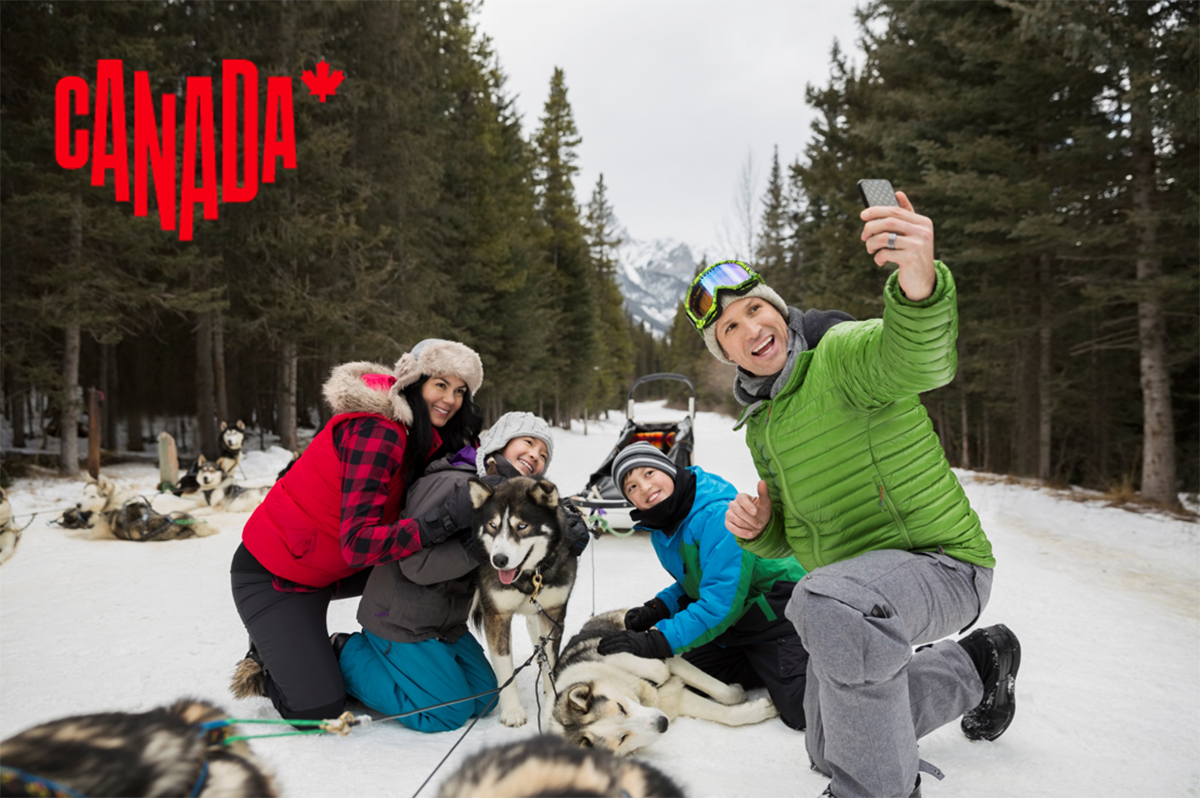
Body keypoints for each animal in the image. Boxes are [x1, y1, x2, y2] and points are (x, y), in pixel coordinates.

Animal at [69, 472, 217, 542]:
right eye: (84, 493)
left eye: (93, 496)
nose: (78, 505)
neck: (113, 503)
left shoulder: (94, 534)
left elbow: (84, 532)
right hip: (176, 512)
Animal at [468, 475, 576, 724]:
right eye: (493, 525)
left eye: (522, 526)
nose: (499, 560)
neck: (529, 578)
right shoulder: (497, 615)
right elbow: (505, 667)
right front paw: (512, 710)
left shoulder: (553, 613)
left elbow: (550, 661)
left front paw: (551, 702)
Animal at [549, 609, 782, 753]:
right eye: (622, 738)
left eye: (621, 708)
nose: (663, 723)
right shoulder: (673, 699)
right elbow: (727, 715)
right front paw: (759, 710)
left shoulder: (658, 661)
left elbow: (661, 669)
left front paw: (738, 693)